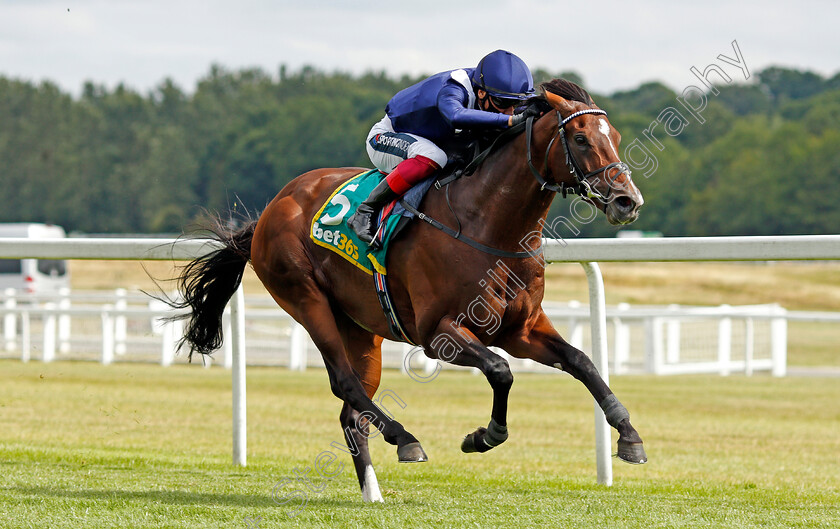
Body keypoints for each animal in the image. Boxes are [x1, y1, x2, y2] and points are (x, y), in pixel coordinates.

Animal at [169, 79, 644, 504]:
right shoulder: (438, 334)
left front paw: (629, 435)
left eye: (616, 137)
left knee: (352, 411)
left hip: (361, 329)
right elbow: (500, 371)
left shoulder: (521, 329)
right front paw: (484, 436)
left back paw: (373, 493)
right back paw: (405, 439)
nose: (627, 200)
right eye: (580, 138)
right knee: (345, 384)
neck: (485, 223)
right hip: (306, 298)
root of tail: (271, 208)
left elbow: (581, 362)